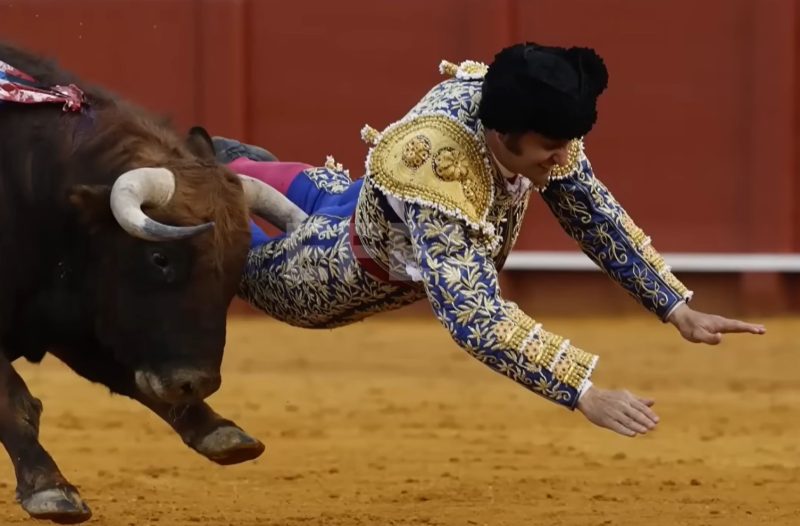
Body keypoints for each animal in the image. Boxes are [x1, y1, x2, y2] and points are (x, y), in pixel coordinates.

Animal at [0, 41, 306, 523]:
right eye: (160, 258)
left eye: (236, 263)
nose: (195, 383)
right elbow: (13, 399)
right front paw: (50, 489)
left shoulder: (78, 314)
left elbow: (128, 373)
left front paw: (218, 431)